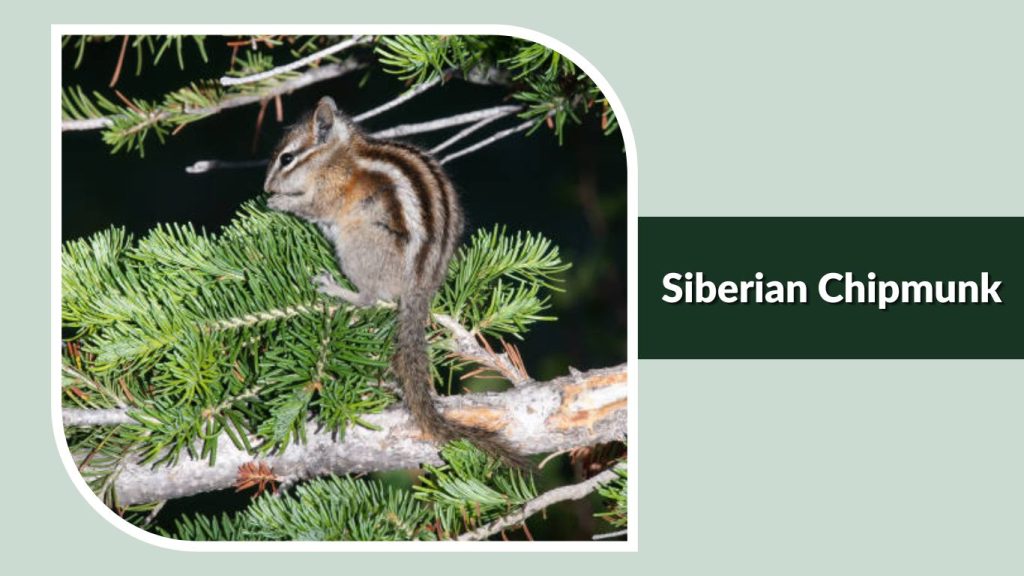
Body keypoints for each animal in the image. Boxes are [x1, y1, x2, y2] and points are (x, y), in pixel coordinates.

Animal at [264, 96, 529, 469]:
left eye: (286, 158)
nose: (265, 187)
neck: (337, 154)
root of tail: (422, 284)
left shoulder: (329, 191)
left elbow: (313, 206)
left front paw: (279, 202)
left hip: (356, 245)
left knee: (370, 298)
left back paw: (334, 287)